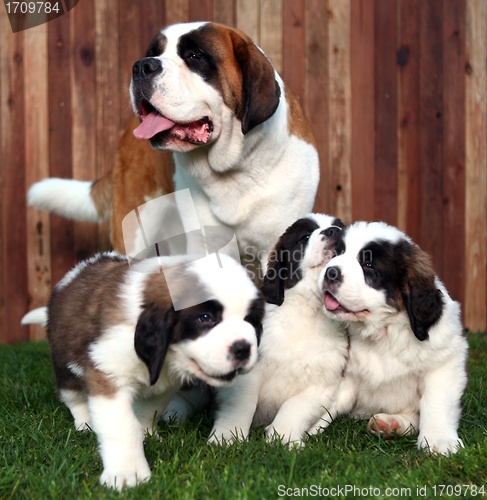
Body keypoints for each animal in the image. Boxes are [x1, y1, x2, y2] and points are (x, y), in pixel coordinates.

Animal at [26, 252, 264, 486]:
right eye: (205, 318)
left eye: (250, 320)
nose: (243, 348)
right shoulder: (108, 373)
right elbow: (122, 426)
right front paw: (127, 472)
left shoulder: (164, 385)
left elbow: (149, 410)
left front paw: (146, 433)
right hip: (64, 363)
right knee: (73, 396)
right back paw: (85, 421)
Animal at [208, 213, 348, 448]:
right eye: (305, 237)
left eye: (341, 229)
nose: (334, 232)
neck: (308, 312)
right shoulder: (248, 370)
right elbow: (242, 403)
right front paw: (228, 437)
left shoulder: (322, 382)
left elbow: (295, 407)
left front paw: (284, 438)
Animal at [316, 221, 468, 456]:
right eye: (338, 253)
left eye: (368, 265)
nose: (331, 272)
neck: (383, 331)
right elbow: (327, 400)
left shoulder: (444, 362)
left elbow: (436, 401)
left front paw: (439, 440)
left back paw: (393, 423)